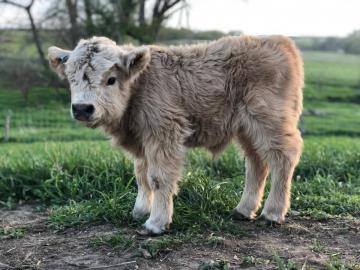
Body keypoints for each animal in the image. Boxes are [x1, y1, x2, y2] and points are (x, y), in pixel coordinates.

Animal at [48, 35, 304, 234]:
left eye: (111, 79)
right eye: (71, 79)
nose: (82, 108)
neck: (140, 84)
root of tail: (280, 41)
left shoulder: (164, 134)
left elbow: (159, 178)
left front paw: (155, 222)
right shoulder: (142, 143)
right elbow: (142, 176)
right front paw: (140, 211)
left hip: (269, 122)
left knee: (283, 158)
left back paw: (272, 213)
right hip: (247, 129)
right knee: (257, 162)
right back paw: (243, 210)